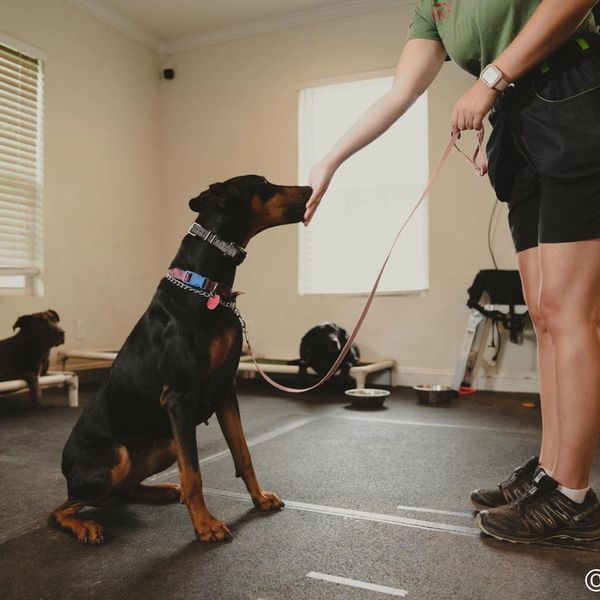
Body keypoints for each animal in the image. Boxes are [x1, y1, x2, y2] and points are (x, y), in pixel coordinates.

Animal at [49, 176, 312, 548]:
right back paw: (85, 525)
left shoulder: (225, 390)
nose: (309, 188)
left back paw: (162, 490)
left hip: (166, 444)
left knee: (121, 492)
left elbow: (243, 453)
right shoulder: (180, 397)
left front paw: (259, 498)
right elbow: (195, 474)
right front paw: (205, 525)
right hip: (117, 457)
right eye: (263, 184)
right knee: (62, 509)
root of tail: (65, 465)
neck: (207, 286)